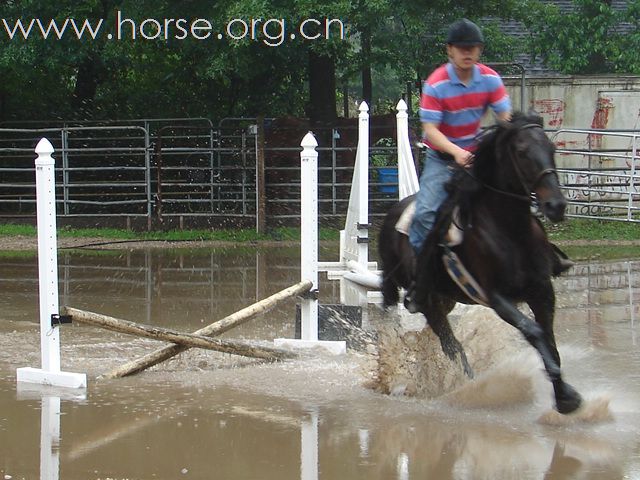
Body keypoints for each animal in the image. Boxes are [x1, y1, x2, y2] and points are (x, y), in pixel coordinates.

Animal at [378, 111, 584, 412]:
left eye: (552, 148)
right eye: (522, 152)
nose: (555, 205)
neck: (510, 231)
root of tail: (392, 214)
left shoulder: (543, 291)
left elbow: (549, 340)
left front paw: (563, 394)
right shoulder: (497, 297)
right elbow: (534, 332)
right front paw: (566, 397)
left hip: (445, 299)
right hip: (425, 300)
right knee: (450, 344)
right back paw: (464, 384)